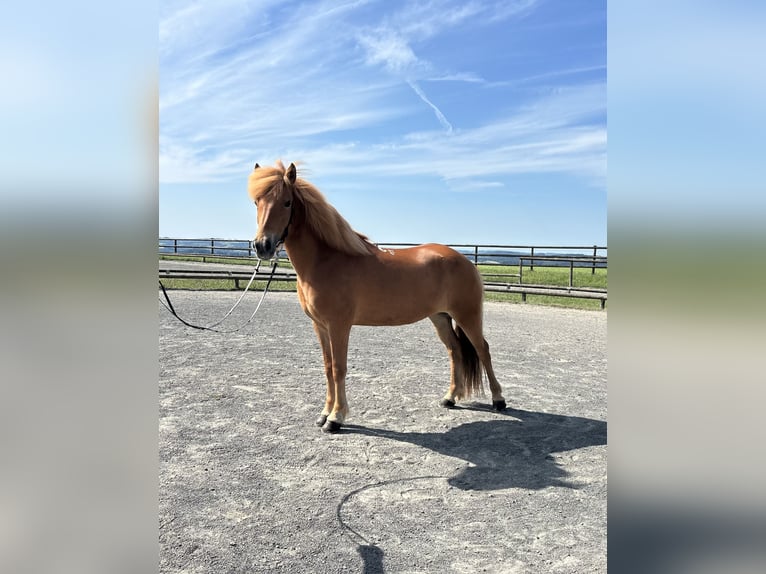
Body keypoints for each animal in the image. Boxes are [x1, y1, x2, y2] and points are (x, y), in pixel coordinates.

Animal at [249, 161, 508, 432]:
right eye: (257, 202)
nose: (262, 246)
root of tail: (465, 261)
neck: (325, 260)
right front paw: (324, 413)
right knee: (455, 351)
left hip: (467, 315)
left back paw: (498, 400)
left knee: (482, 349)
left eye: (287, 202)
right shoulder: (319, 325)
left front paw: (336, 418)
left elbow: (339, 368)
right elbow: (328, 367)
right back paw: (450, 397)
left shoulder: (339, 325)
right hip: (440, 317)